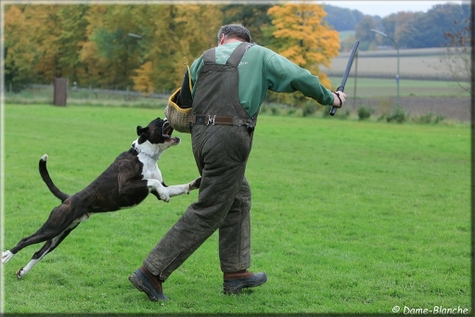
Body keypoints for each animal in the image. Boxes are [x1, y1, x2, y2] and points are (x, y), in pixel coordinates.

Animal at [1, 116, 200, 276]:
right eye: (159, 121)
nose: (167, 117)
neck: (147, 155)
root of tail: (68, 199)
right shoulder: (125, 186)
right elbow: (153, 183)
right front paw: (166, 194)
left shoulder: (156, 187)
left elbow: (176, 187)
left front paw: (195, 183)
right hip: (53, 227)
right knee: (25, 240)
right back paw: (6, 256)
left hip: (58, 235)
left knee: (38, 253)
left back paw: (23, 273)